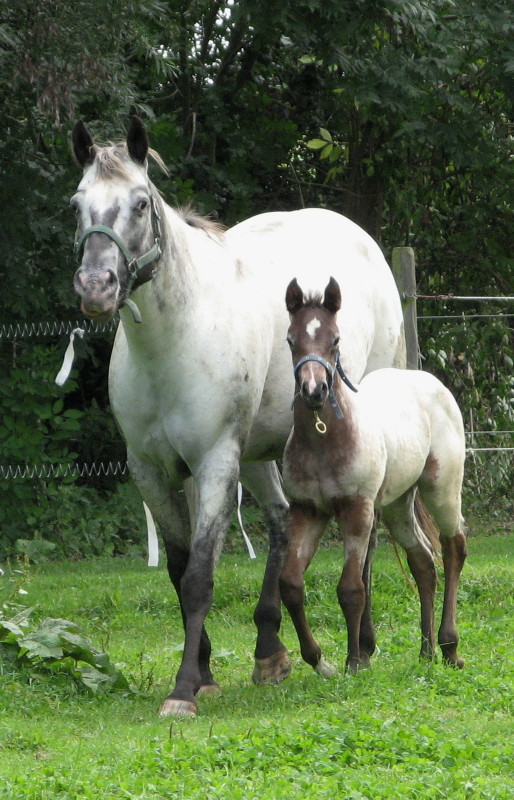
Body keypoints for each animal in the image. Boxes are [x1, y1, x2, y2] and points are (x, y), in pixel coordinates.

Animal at [69, 117, 404, 720]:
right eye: (77, 204)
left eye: (140, 203)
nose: (96, 287)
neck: (173, 342)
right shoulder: (153, 471)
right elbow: (179, 571)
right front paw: (203, 674)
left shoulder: (214, 462)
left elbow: (200, 576)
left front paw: (183, 690)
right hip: (261, 452)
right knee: (279, 524)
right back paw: (270, 651)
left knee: (364, 545)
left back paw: (361, 647)